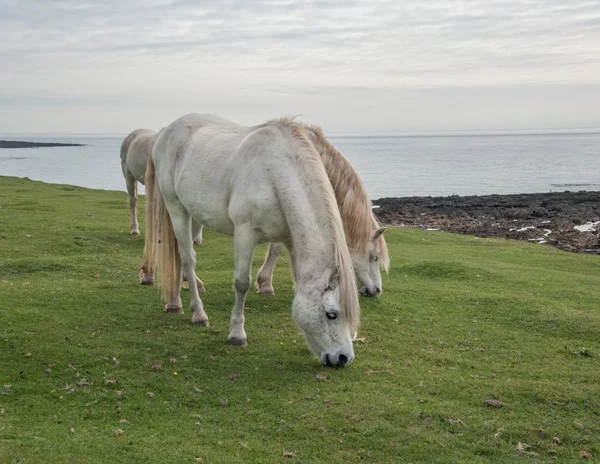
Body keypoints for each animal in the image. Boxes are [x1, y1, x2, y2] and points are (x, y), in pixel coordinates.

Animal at [144, 113, 360, 366]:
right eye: (331, 314)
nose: (343, 357)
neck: (274, 173)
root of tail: (167, 130)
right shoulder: (245, 234)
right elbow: (242, 283)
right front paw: (237, 334)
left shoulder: (291, 242)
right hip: (176, 207)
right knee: (188, 257)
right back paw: (198, 313)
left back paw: (174, 303)